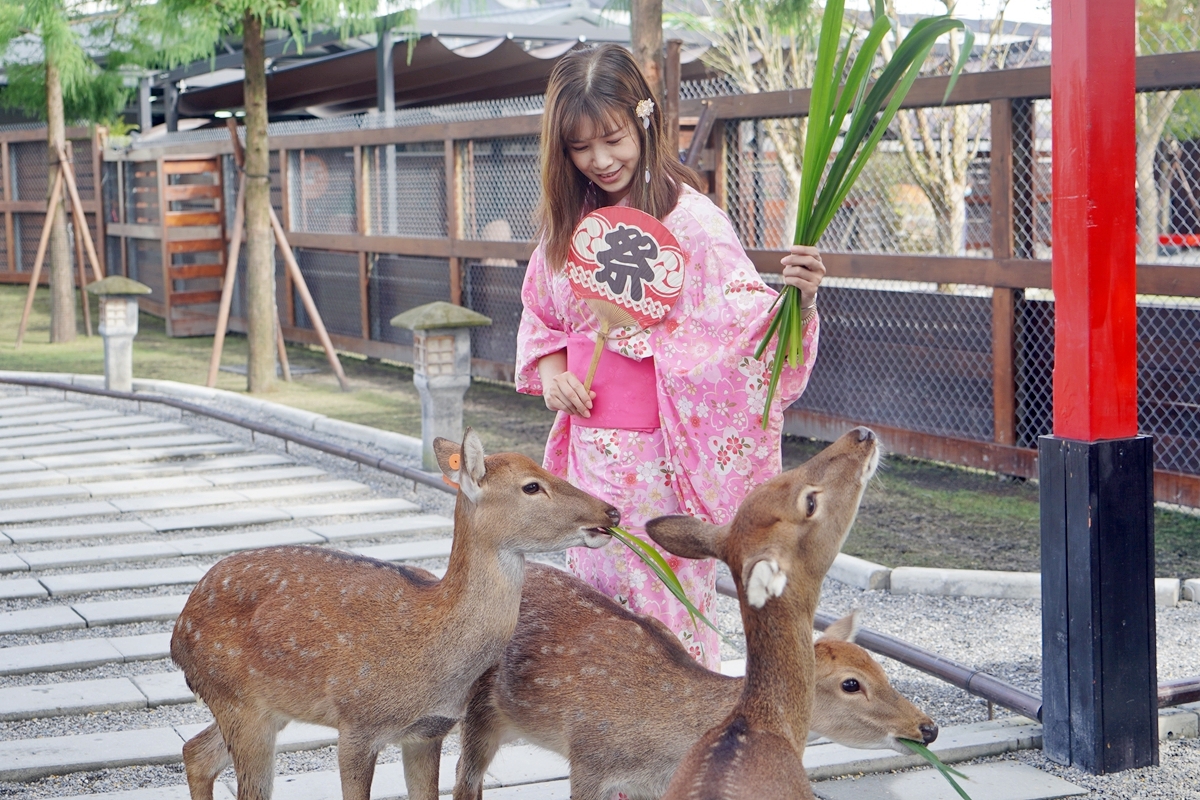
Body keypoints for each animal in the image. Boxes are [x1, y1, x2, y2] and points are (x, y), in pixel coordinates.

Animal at [169, 431, 619, 800]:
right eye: (531, 486)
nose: (610, 512)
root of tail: (176, 637)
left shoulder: (429, 732)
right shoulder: (356, 725)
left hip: (261, 707)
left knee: (194, 751)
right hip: (239, 702)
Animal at [451, 563, 936, 800]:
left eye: (882, 668)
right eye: (852, 684)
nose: (928, 727)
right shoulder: (589, 759)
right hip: (474, 708)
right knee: (464, 778)